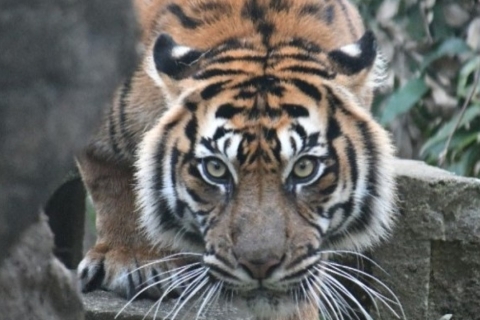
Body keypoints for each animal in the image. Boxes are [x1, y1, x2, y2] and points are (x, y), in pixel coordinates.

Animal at [79, 0, 400, 318]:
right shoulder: (97, 132)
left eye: (305, 168)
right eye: (215, 169)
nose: (260, 265)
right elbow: (113, 187)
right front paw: (133, 260)